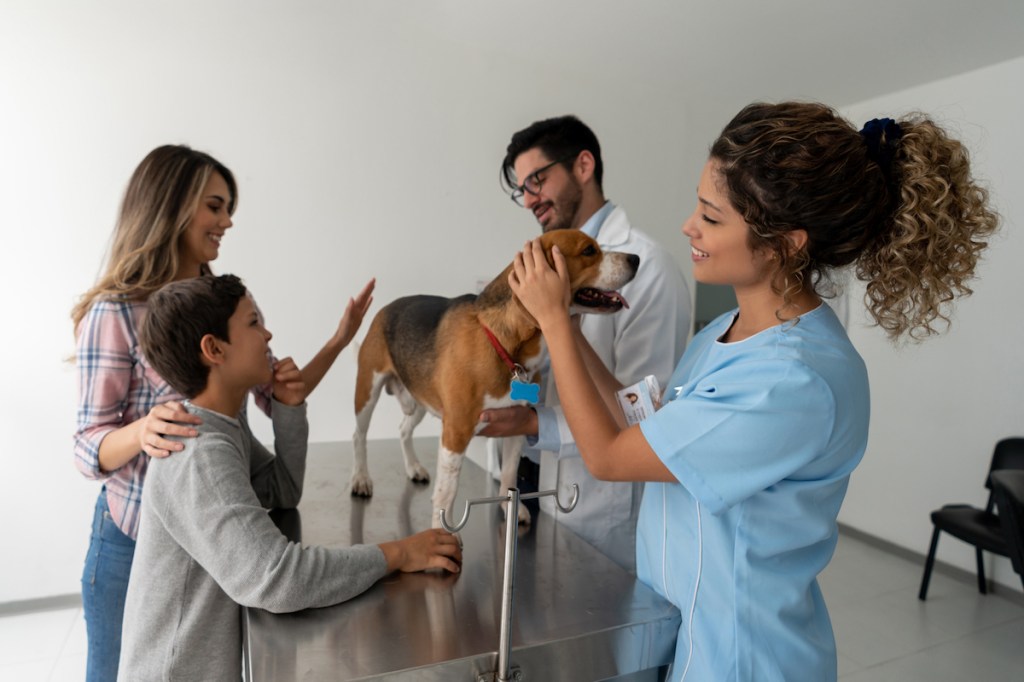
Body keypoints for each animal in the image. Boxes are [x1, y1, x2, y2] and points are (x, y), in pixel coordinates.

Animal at [354, 231, 638, 522]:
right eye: (589, 251)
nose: (635, 259)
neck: (505, 346)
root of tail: (386, 308)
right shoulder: (456, 431)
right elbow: (446, 494)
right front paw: (439, 531)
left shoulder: (517, 425)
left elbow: (510, 474)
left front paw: (511, 509)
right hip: (367, 391)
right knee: (359, 436)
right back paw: (361, 479)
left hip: (420, 401)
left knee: (403, 430)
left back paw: (413, 467)